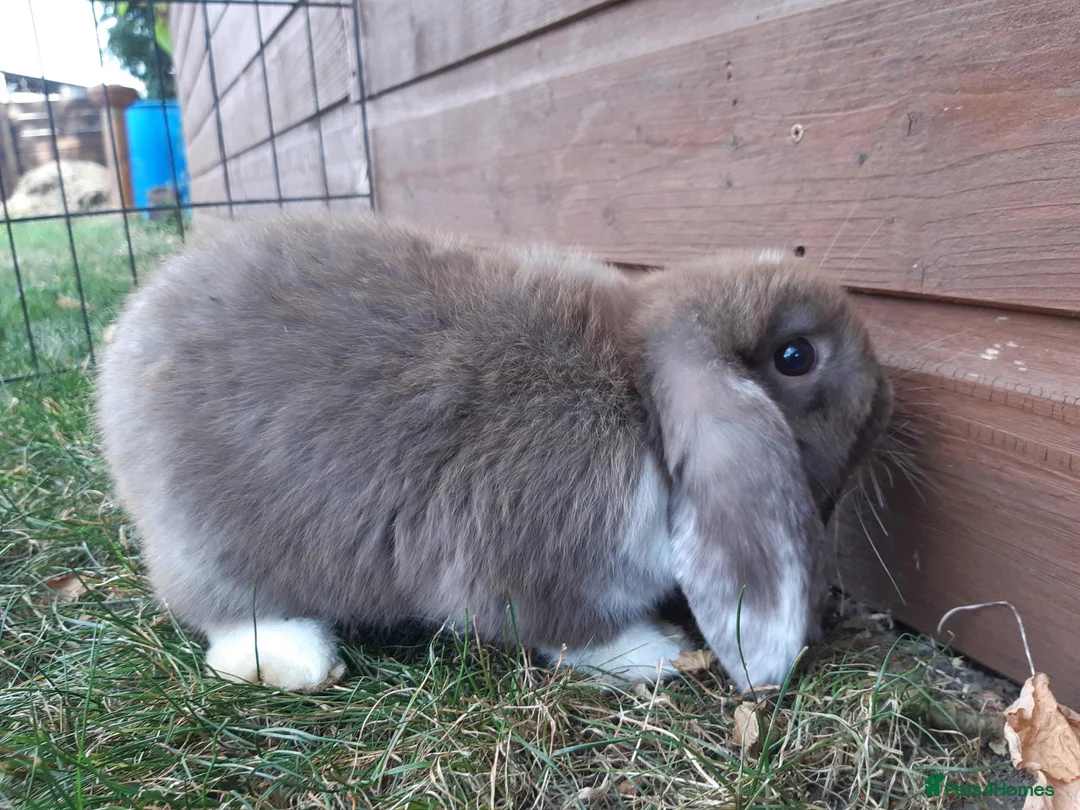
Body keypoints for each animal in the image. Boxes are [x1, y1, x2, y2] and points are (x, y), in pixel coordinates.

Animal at [96, 212, 893, 693]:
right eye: (796, 356)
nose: (888, 399)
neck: (637, 393)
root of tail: (127, 341)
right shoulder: (541, 562)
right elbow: (567, 631)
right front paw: (658, 652)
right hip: (211, 542)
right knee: (222, 617)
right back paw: (299, 657)